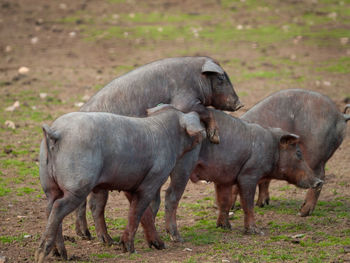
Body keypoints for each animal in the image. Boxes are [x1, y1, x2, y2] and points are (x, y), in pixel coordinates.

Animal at [35, 105, 205, 263]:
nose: (203, 134)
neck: (167, 135)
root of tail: (56, 132)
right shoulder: (153, 180)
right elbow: (137, 211)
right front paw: (130, 248)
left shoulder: (131, 185)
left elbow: (144, 213)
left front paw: (159, 245)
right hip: (77, 185)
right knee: (58, 207)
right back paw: (42, 255)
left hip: (49, 186)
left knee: (49, 208)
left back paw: (61, 254)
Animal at [75, 56, 242, 244]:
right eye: (220, 78)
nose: (239, 104)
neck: (196, 78)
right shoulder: (185, 101)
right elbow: (205, 111)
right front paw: (215, 137)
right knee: (95, 204)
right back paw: (107, 240)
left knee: (82, 203)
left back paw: (84, 235)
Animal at [159, 108, 322, 242]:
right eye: (299, 153)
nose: (319, 181)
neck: (271, 149)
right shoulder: (249, 174)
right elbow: (247, 204)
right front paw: (256, 231)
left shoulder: (223, 178)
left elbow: (224, 201)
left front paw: (225, 227)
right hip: (183, 167)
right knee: (170, 196)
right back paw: (176, 237)